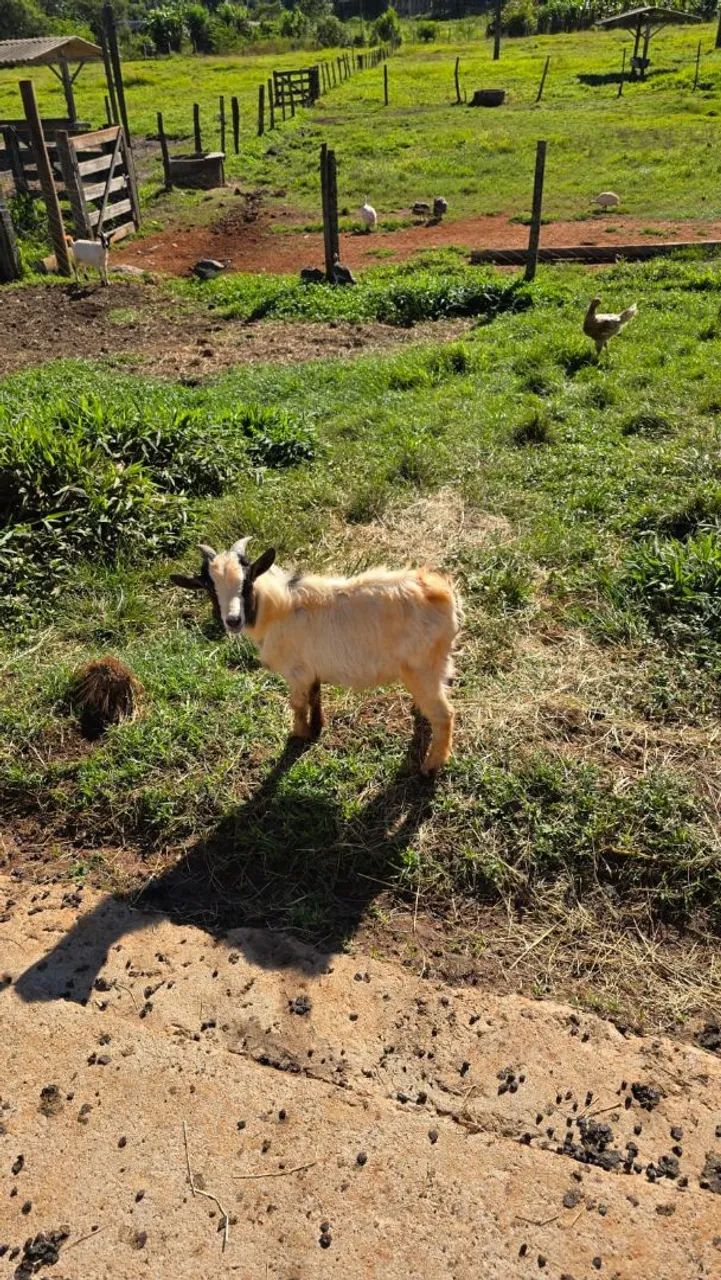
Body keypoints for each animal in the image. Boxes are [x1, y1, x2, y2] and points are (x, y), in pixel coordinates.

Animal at [171, 539, 461, 774]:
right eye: (209, 587)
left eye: (247, 581)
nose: (233, 620)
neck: (275, 609)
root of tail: (441, 591)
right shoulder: (312, 670)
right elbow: (315, 696)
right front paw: (317, 727)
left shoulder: (296, 672)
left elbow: (298, 704)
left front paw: (298, 734)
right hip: (434, 667)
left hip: (422, 668)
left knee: (445, 714)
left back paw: (430, 767)